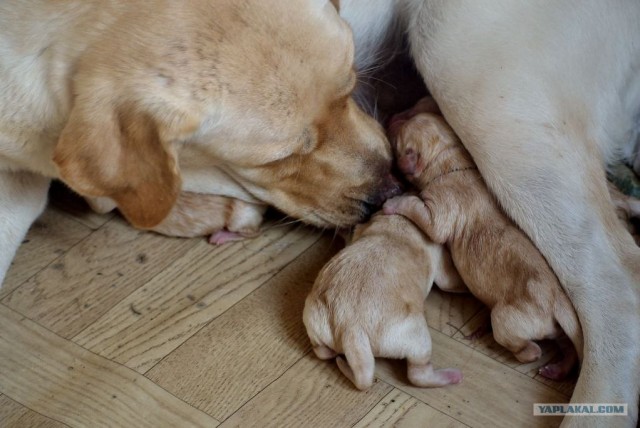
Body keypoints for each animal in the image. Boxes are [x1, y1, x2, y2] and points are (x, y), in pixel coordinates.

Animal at [302, 212, 468, 390]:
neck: (397, 221)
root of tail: (350, 328)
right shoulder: (441, 262)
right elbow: (451, 281)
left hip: (314, 319)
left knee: (322, 352)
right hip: (415, 335)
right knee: (417, 373)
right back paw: (451, 376)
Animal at [384, 108, 584, 380]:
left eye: (397, 142)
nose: (392, 116)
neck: (451, 162)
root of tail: (558, 302)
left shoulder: (437, 213)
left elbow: (415, 206)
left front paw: (393, 203)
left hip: (507, 319)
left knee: (528, 348)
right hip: (556, 329)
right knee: (567, 348)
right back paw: (556, 369)